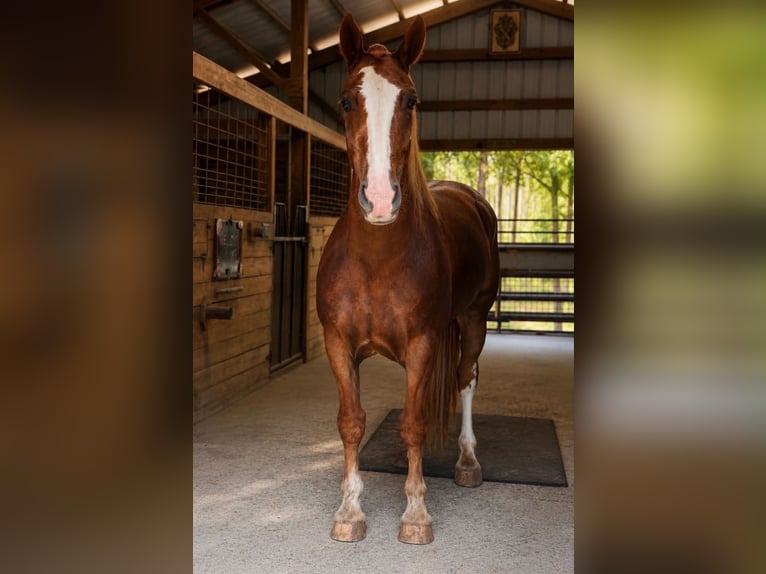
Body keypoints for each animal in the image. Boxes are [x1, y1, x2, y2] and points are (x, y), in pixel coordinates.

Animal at [316, 14, 500, 545]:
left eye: (411, 100)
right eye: (346, 100)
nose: (379, 200)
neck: (377, 259)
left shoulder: (423, 345)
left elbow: (416, 424)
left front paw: (416, 513)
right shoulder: (337, 344)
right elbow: (352, 423)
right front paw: (350, 510)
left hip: (474, 321)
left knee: (466, 379)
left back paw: (467, 461)